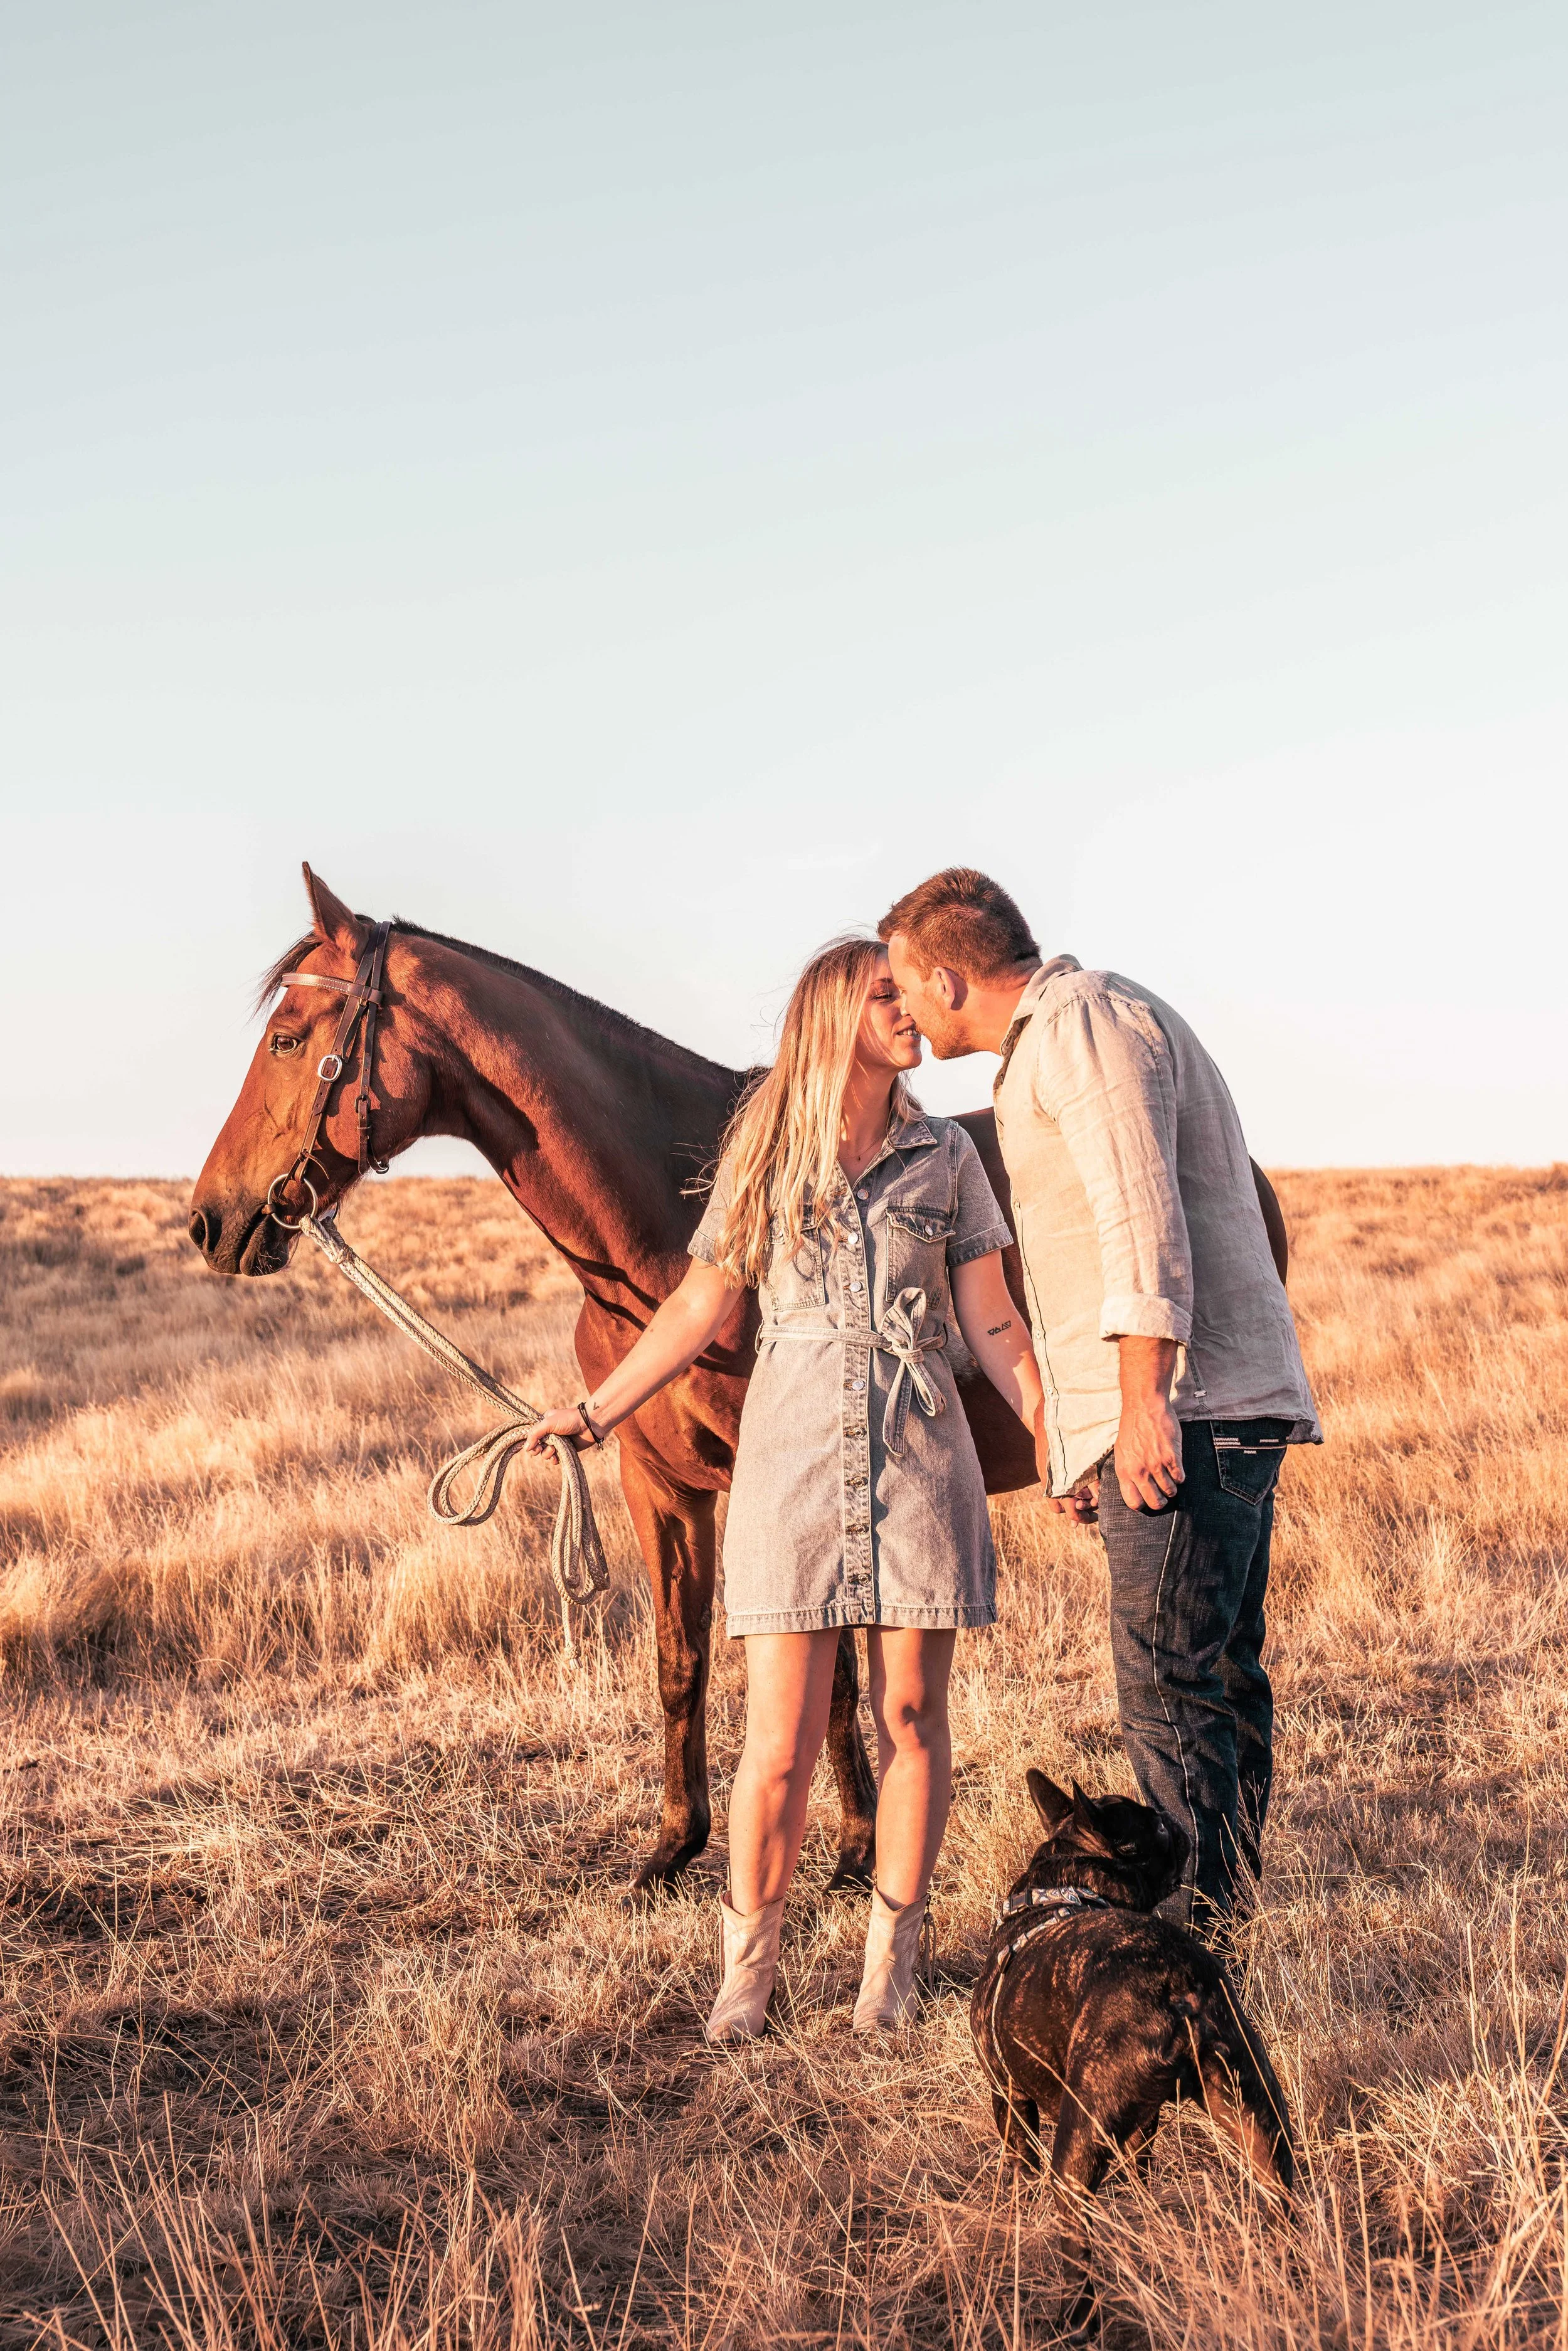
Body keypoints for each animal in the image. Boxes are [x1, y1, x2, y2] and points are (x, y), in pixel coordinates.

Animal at [189, 867, 1290, 1898]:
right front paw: (672, 1849)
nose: (212, 1221)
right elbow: (679, 1663)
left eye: (288, 1037)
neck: (667, 1234)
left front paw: (852, 1851)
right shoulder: (657, 1484)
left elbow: (830, 1681)